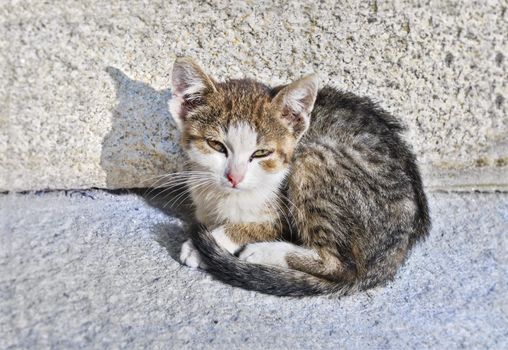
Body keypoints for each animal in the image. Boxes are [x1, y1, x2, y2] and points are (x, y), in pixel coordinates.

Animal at [168, 56, 428, 296]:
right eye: (216, 145)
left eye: (261, 153)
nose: (234, 177)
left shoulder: (283, 217)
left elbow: (254, 226)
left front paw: (211, 242)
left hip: (313, 157)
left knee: (343, 266)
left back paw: (265, 252)